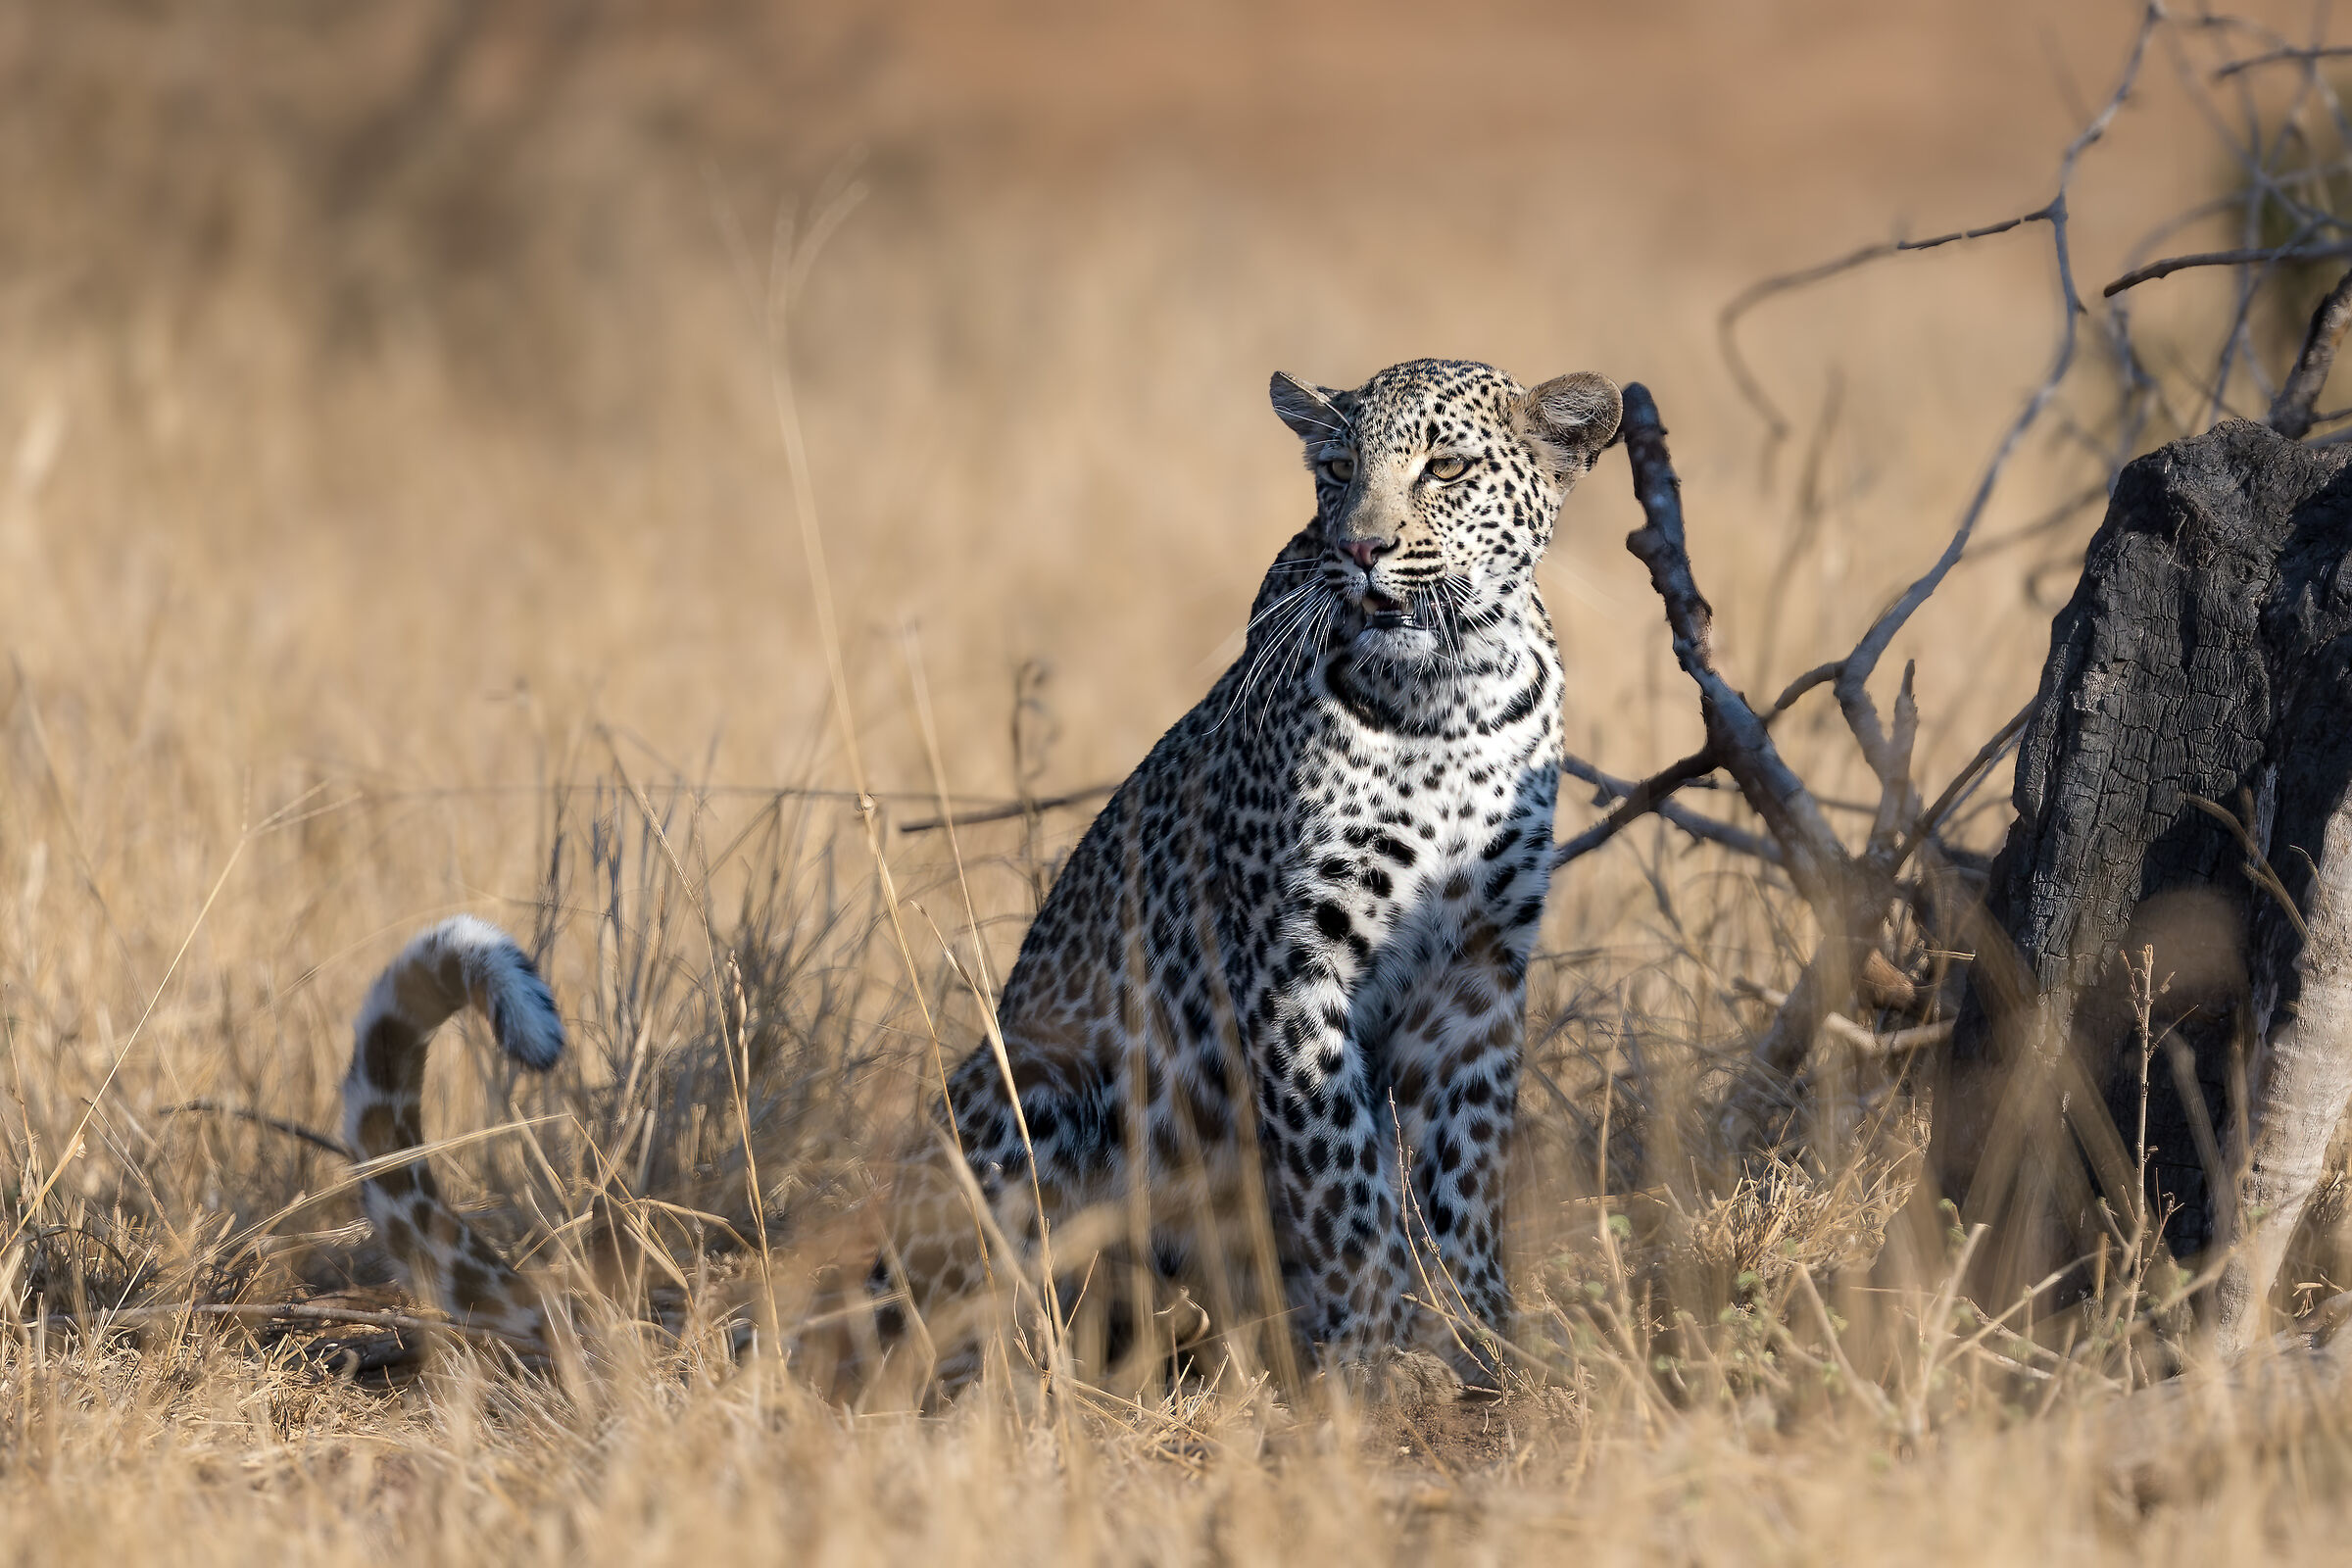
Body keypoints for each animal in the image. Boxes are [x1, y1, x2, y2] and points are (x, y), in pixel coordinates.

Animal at [329, 358, 1620, 1395]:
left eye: (1445, 466)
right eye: (1338, 470)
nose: (1360, 548)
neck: (1451, 687)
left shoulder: (1478, 974)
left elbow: (1462, 1171)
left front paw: (1480, 1340)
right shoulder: (1293, 969)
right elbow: (1344, 1174)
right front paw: (1378, 1348)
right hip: (1038, 1086)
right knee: (957, 1321)